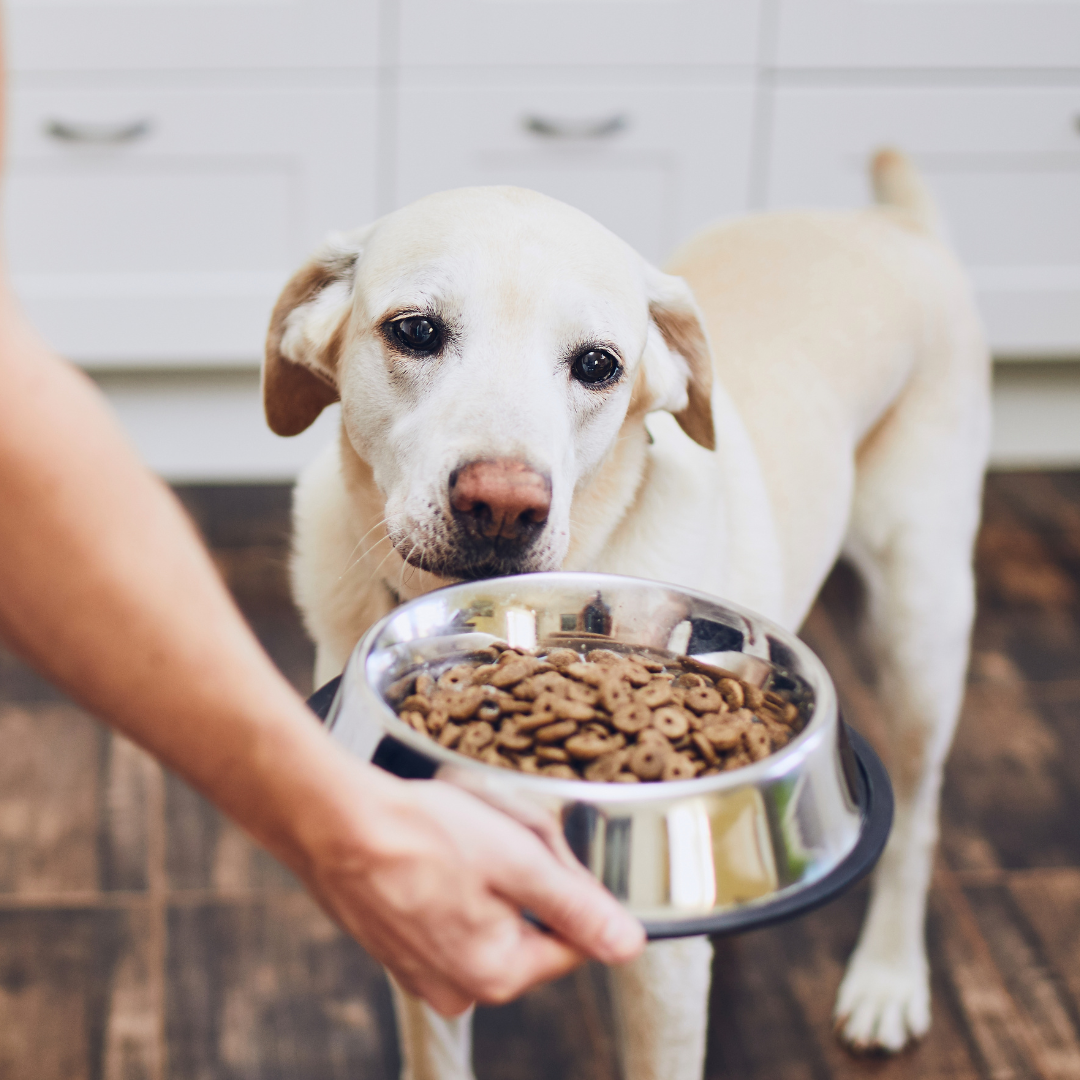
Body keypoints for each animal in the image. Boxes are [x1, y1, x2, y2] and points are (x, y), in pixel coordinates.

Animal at [261, 147, 989, 1075]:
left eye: (598, 364)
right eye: (415, 331)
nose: (502, 506)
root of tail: (894, 223)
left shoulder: (661, 976)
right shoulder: (426, 916)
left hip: (922, 622)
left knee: (922, 819)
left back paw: (888, 978)